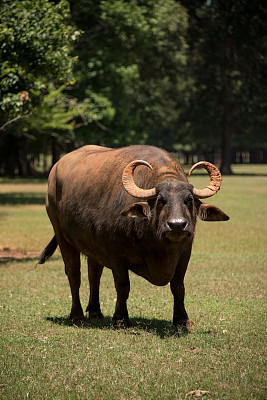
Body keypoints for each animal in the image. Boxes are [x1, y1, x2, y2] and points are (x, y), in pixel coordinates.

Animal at [38, 144, 229, 328]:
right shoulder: (116, 256)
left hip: (93, 245)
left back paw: (95, 312)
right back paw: (77, 317)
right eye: (160, 200)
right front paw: (121, 319)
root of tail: (54, 171)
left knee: (94, 273)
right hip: (62, 236)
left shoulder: (184, 254)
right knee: (74, 274)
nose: (177, 225)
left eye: (189, 200)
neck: (159, 246)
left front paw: (183, 320)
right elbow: (123, 286)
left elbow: (178, 286)